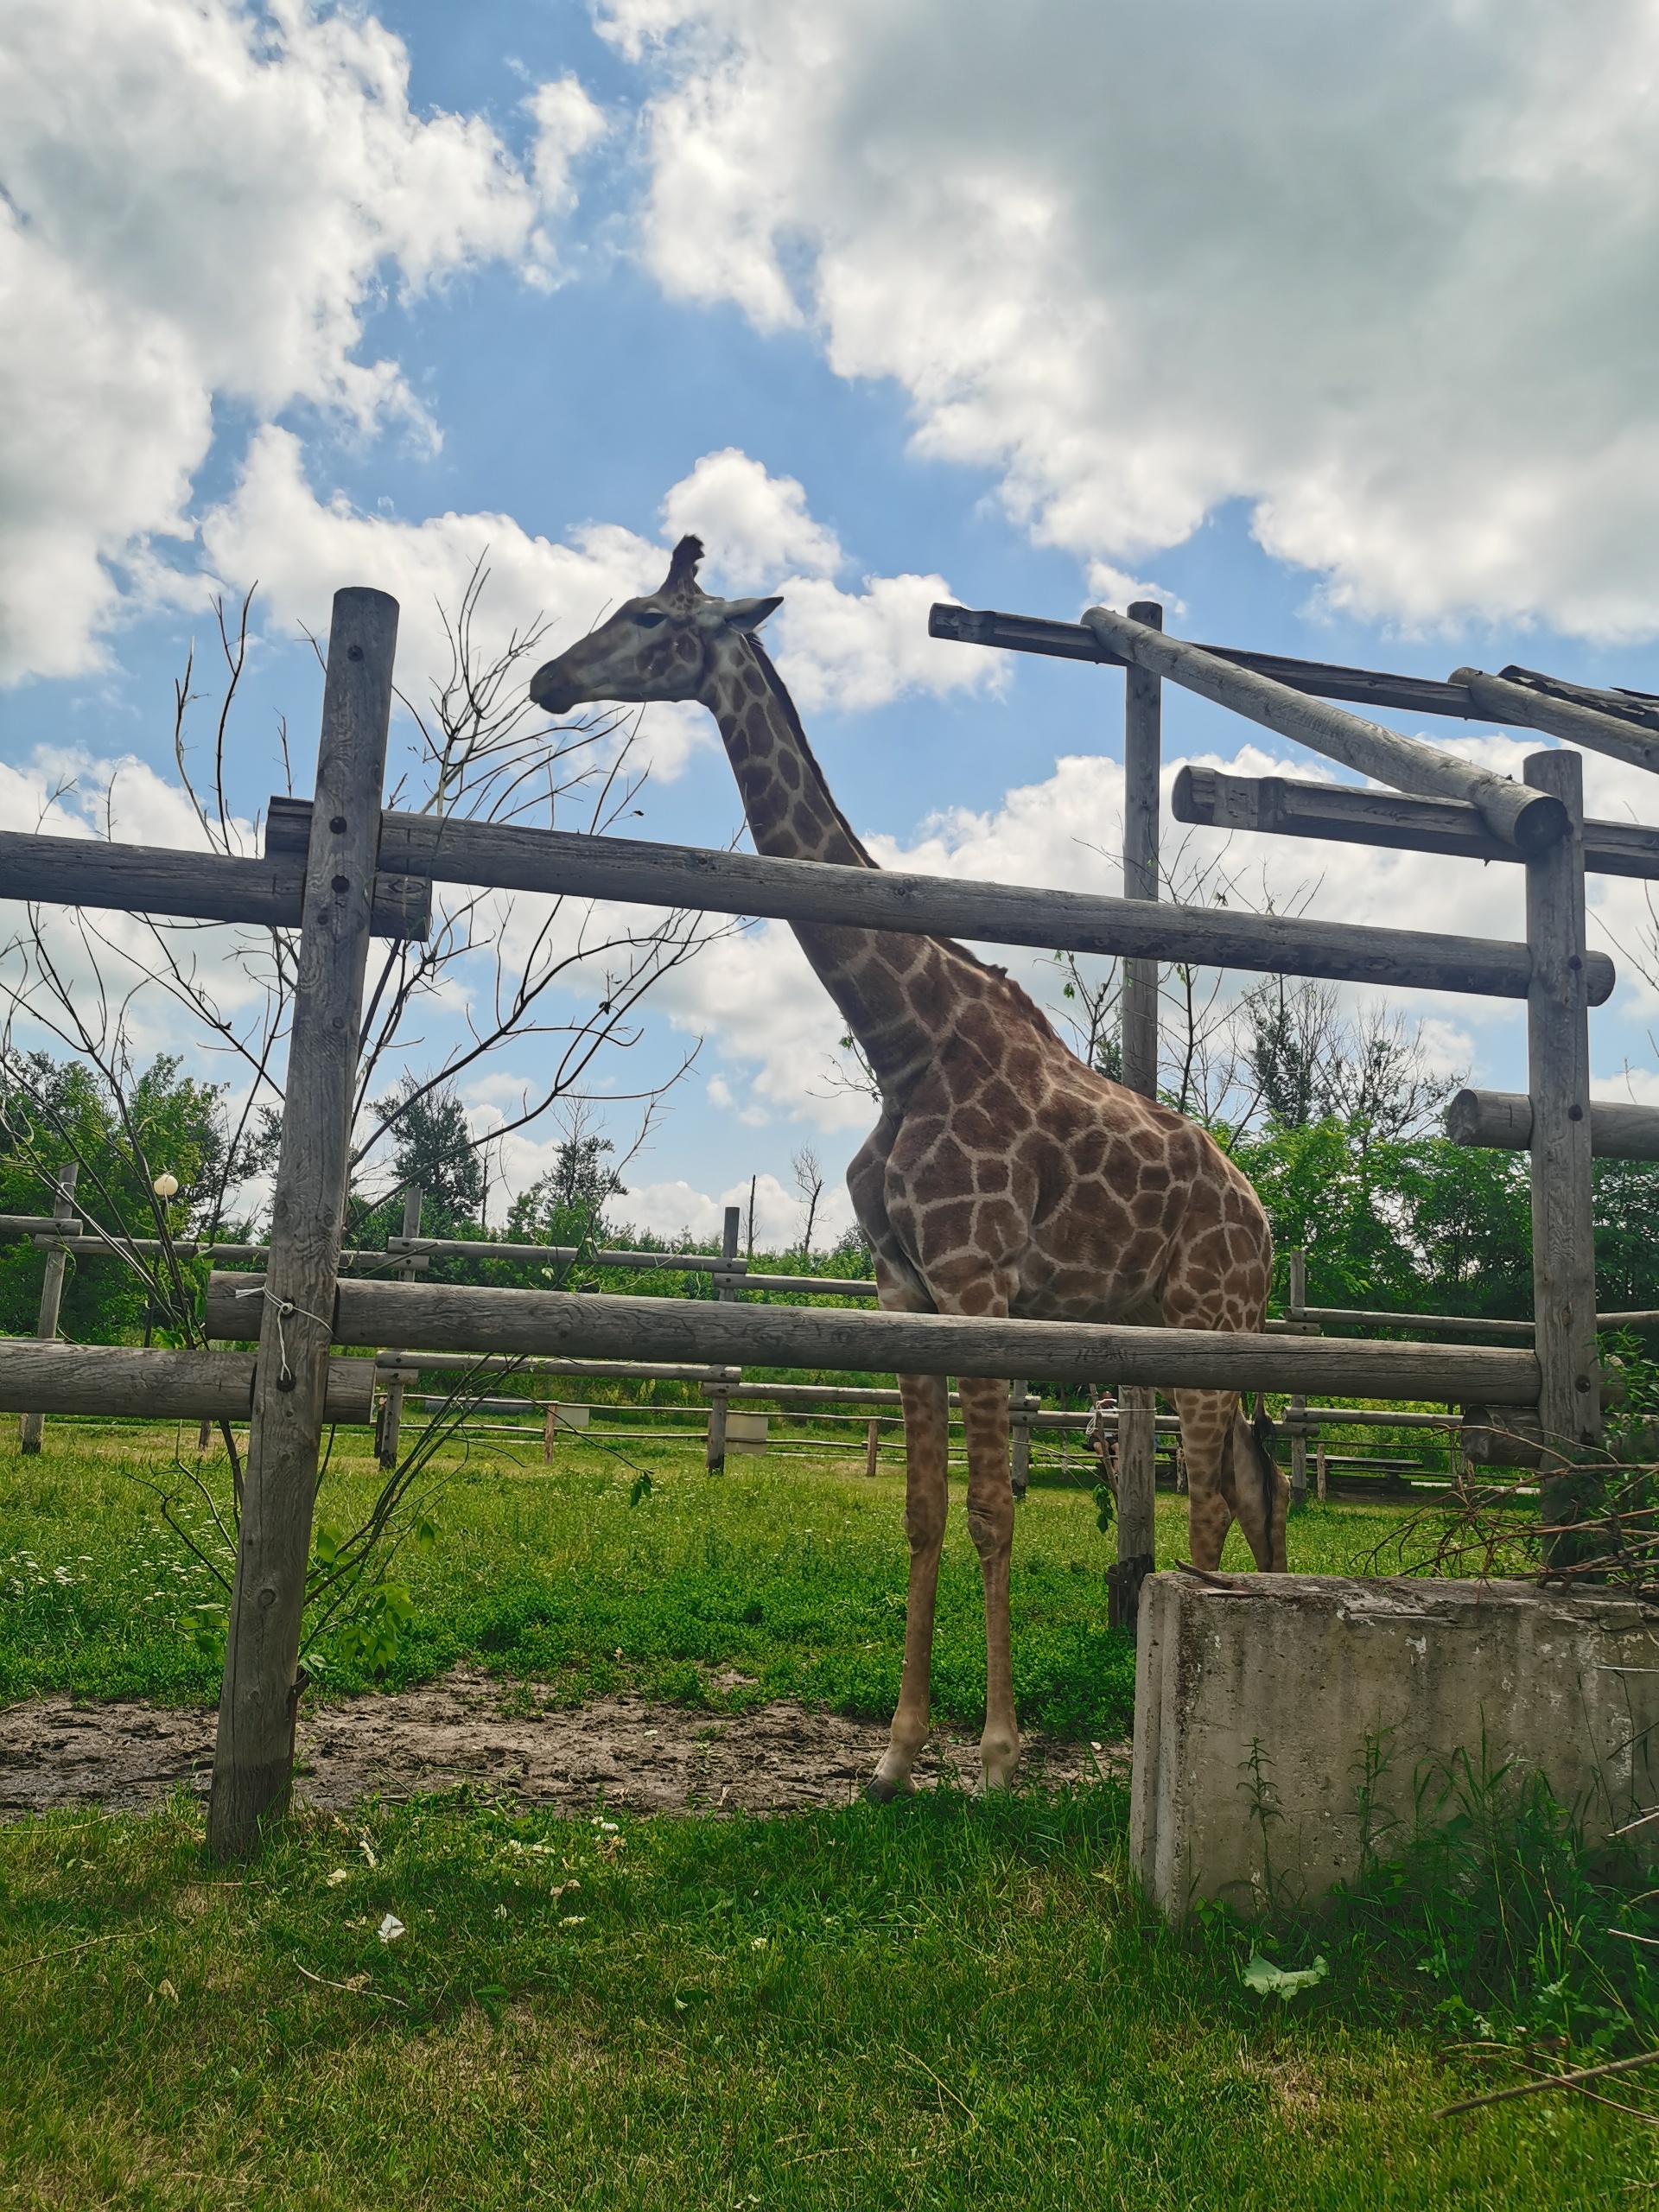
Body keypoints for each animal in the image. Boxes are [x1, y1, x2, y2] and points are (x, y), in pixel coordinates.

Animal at [532, 543, 1282, 1804]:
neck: (905, 1037)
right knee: (1262, 1483)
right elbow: (925, 1514)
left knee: (1223, 1493)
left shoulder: (977, 1283)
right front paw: (895, 1752)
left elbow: (989, 1513)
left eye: (646, 615)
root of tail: (1266, 1218)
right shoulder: (906, 1289)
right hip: (1187, 1327)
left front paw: (996, 1754)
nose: (549, 678)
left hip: (1204, 1320)